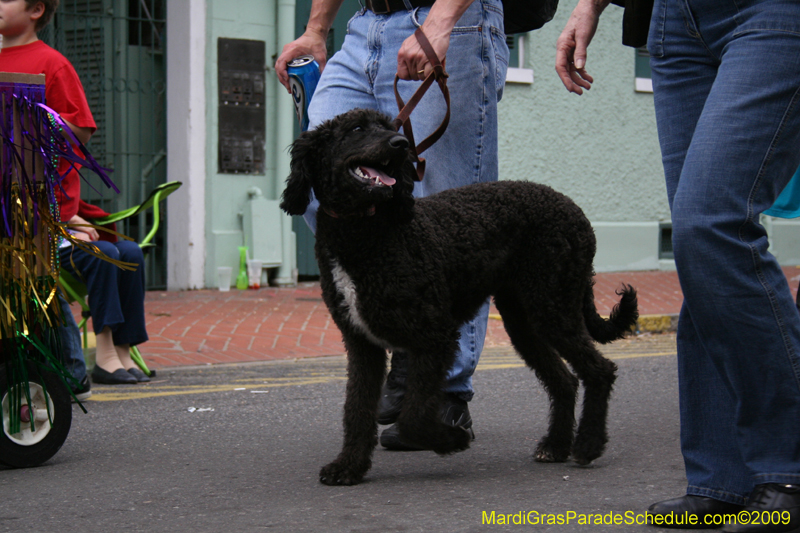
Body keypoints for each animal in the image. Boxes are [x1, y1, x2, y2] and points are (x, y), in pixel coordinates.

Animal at [282, 109, 636, 486]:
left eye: (390, 127)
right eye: (357, 128)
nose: (401, 143)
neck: (367, 232)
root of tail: (576, 211)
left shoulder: (434, 338)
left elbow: (413, 417)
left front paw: (451, 438)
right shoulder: (362, 344)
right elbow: (357, 409)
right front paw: (348, 466)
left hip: (553, 306)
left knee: (600, 371)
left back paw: (588, 444)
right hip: (524, 319)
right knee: (565, 380)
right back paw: (555, 446)